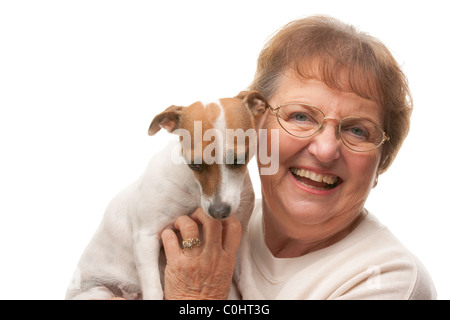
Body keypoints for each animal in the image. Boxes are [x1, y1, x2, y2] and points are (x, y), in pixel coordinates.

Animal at [64, 90, 268, 300]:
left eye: (239, 159)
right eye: (194, 164)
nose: (218, 212)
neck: (195, 192)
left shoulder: (240, 234)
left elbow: (246, 275)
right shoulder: (146, 237)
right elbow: (154, 289)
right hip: (99, 292)